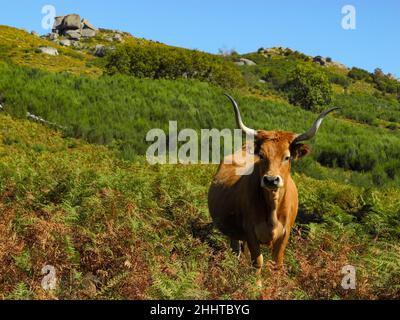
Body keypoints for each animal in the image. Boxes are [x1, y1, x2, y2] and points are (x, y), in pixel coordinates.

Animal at [209, 94, 338, 274]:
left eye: (287, 157)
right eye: (262, 155)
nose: (271, 180)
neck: (273, 206)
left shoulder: (284, 234)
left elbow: (277, 263)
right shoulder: (250, 232)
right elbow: (258, 262)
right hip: (234, 232)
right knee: (237, 250)